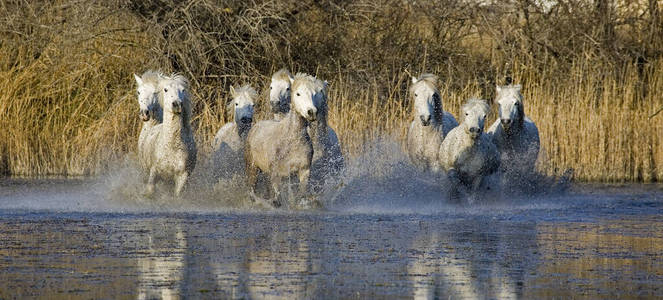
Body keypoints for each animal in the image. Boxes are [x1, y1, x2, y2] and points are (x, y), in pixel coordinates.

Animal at [246, 73, 324, 209]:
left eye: (314, 94)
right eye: (298, 94)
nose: (311, 112)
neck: (291, 140)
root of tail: (256, 126)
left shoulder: (304, 171)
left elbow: (301, 195)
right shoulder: (276, 174)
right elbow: (278, 200)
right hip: (252, 168)